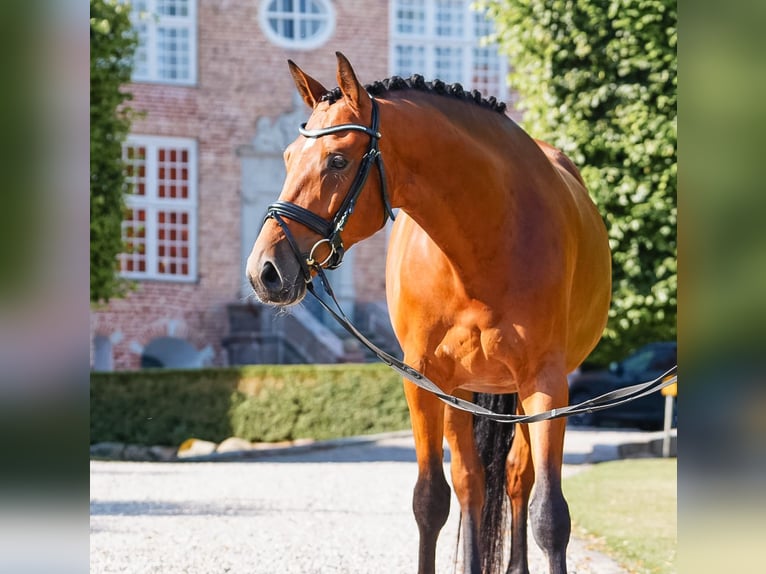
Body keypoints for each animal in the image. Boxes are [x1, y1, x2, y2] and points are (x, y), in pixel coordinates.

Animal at [246, 52, 611, 574]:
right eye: (288, 158)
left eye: (337, 160)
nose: (265, 271)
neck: (484, 242)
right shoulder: (424, 380)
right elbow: (431, 499)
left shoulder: (547, 384)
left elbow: (550, 515)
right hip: (462, 391)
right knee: (472, 482)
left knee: (516, 478)